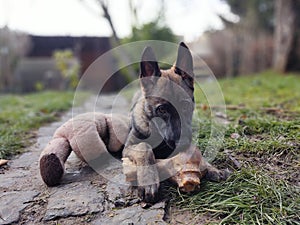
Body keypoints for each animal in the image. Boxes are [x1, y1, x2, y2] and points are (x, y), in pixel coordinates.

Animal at [122, 42, 227, 204]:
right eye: (162, 109)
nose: (182, 143)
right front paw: (148, 180)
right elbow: (144, 147)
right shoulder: (128, 147)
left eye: (185, 106)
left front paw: (210, 167)